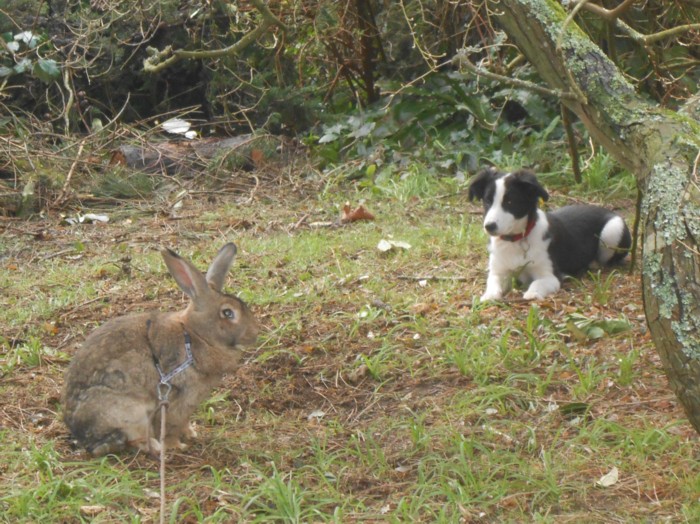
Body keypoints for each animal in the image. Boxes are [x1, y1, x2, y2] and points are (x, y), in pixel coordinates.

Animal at [62, 243, 259, 457]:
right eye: (228, 313)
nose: (254, 334)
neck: (195, 335)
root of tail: (82, 435)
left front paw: (191, 433)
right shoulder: (175, 400)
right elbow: (171, 426)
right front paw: (176, 446)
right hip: (131, 412)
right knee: (138, 439)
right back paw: (156, 447)